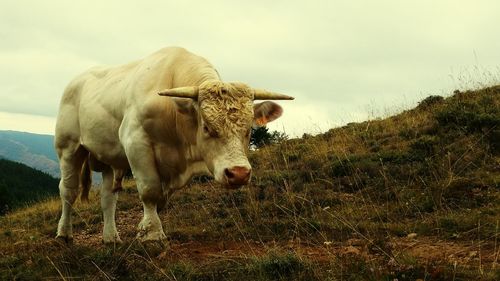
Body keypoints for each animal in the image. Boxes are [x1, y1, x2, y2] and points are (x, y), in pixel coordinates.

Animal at [54, 47, 292, 242]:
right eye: (206, 126)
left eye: (249, 128)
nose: (239, 173)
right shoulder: (135, 142)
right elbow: (150, 190)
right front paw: (152, 234)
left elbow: (161, 197)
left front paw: (144, 228)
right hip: (68, 147)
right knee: (68, 190)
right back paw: (64, 234)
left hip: (109, 158)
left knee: (108, 198)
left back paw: (111, 238)